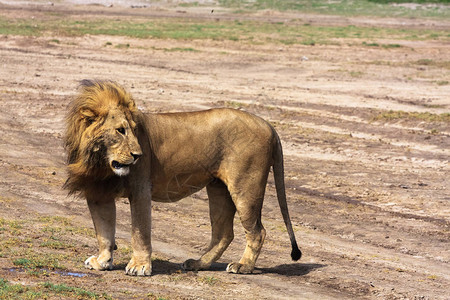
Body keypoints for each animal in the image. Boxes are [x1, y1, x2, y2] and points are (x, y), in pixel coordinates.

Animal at [64, 79, 302, 276]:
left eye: (133, 130)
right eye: (120, 130)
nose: (138, 155)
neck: (101, 163)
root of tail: (269, 125)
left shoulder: (140, 189)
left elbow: (140, 232)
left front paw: (139, 266)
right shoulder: (98, 193)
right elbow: (103, 230)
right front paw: (102, 261)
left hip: (246, 187)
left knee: (257, 231)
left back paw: (243, 266)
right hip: (218, 189)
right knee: (224, 233)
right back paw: (199, 263)